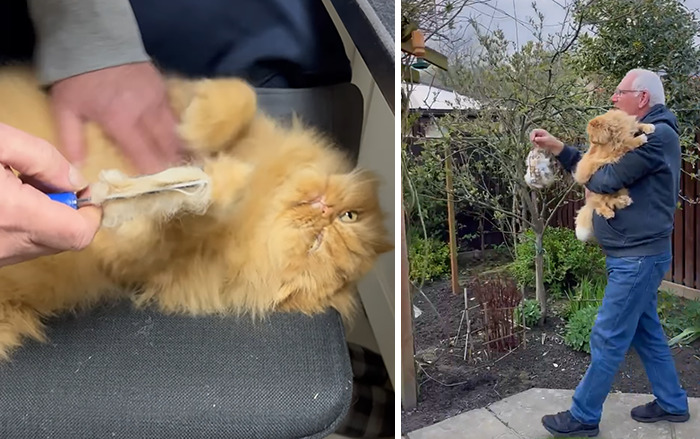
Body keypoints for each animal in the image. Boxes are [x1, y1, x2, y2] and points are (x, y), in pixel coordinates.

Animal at [0, 65, 394, 360]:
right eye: (348, 217)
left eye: (317, 243)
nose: (324, 208)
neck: (264, 201)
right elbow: (241, 98)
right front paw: (198, 126)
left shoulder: (132, 266)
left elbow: (158, 237)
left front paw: (209, 190)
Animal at [576, 108, 656, 242]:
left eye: (591, 135)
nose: (592, 142)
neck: (615, 130)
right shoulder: (614, 150)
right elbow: (627, 144)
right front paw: (639, 139)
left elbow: (638, 125)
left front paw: (649, 126)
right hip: (598, 194)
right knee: (600, 205)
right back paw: (609, 212)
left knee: (610, 202)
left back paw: (624, 200)